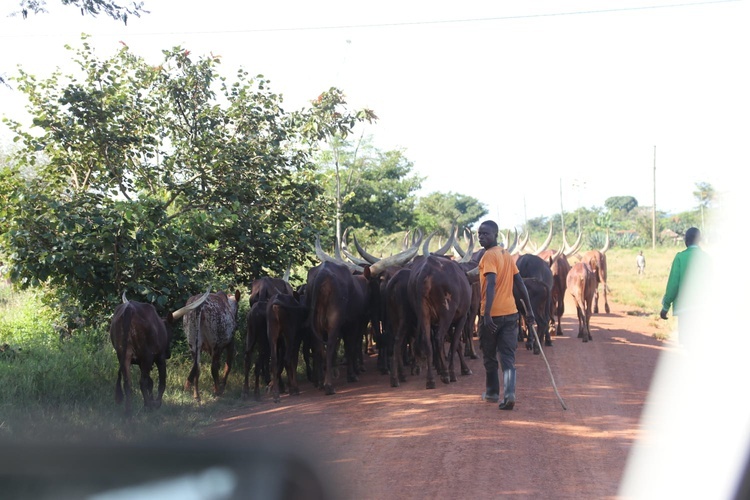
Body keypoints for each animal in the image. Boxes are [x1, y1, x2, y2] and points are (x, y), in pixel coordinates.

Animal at [108, 288, 210, 416]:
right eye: (170, 331)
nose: (168, 354)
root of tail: (129, 309)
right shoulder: (158, 358)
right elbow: (161, 382)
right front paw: (156, 403)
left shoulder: (141, 362)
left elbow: (150, 382)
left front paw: (152, 402)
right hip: (147, 356)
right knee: (142, 382)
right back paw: (147, 406)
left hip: (124, 355)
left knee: (128, 383)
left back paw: (128, 413)